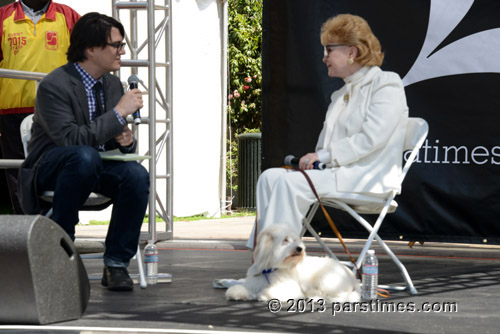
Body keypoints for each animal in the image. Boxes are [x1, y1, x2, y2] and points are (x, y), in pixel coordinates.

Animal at [226, 224, 360, 302]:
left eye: (295, 240)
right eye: (285, 240)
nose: (300, 248)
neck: (271, 269)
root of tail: (352, 278)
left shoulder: (290, 287)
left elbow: (269, 291)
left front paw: (263, 295)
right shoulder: (254, 283)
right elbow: (246, 289)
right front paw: (236, 292)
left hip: (326, 280)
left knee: (340, 295)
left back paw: (313, 295)